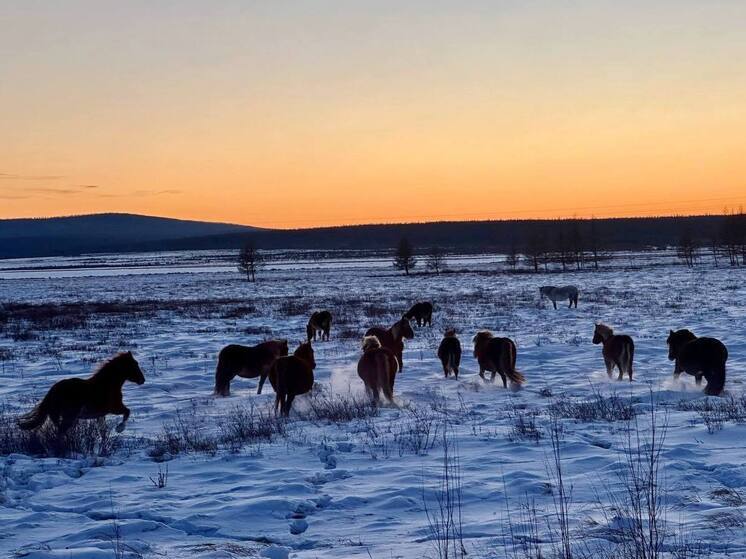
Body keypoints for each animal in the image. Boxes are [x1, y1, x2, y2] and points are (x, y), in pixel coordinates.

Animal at [17, 352, 146, 436]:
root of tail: (52, 392)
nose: (142, 380)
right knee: (60, 432)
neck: (107, 385)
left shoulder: (100, 415)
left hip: (59, 417)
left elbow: (103, 431)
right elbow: (127, 411)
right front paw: (119, 429)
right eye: (134, 365)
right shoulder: (114, 408)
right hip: (69, 416)